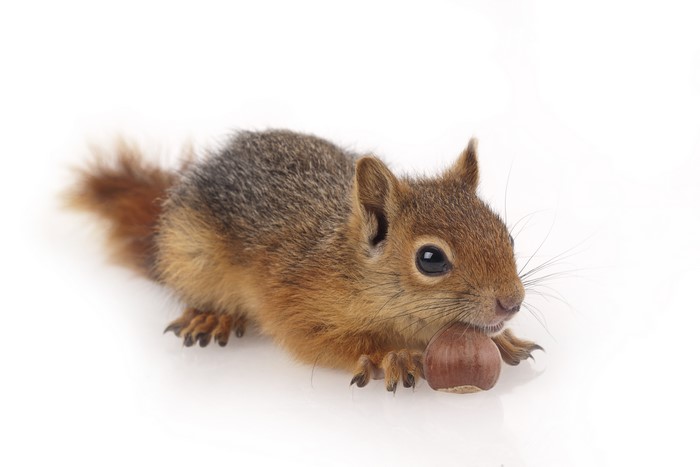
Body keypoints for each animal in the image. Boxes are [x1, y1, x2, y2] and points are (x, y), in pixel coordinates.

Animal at [68, 129, 541, 391]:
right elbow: (324, 341)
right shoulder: (296, 301)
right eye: (430, 259)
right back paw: (213, 315)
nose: (512, 303)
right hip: (191, 257)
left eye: (507, 235)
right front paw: (393, 355)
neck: (349, 264)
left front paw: (503, 340)